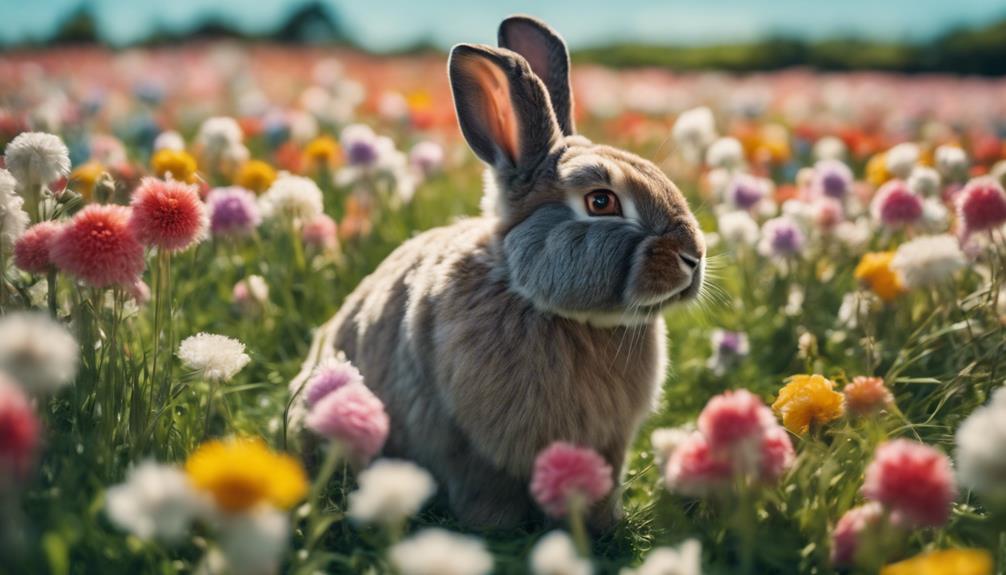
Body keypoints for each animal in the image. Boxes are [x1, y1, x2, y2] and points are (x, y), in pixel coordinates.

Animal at [314, 15, 706, 531]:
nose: (693, 257)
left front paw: (599, 524)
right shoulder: (472, 444)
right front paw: (495, 529)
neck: (542, 304)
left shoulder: (610, 444)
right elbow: (487, 488)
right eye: (601, 201)